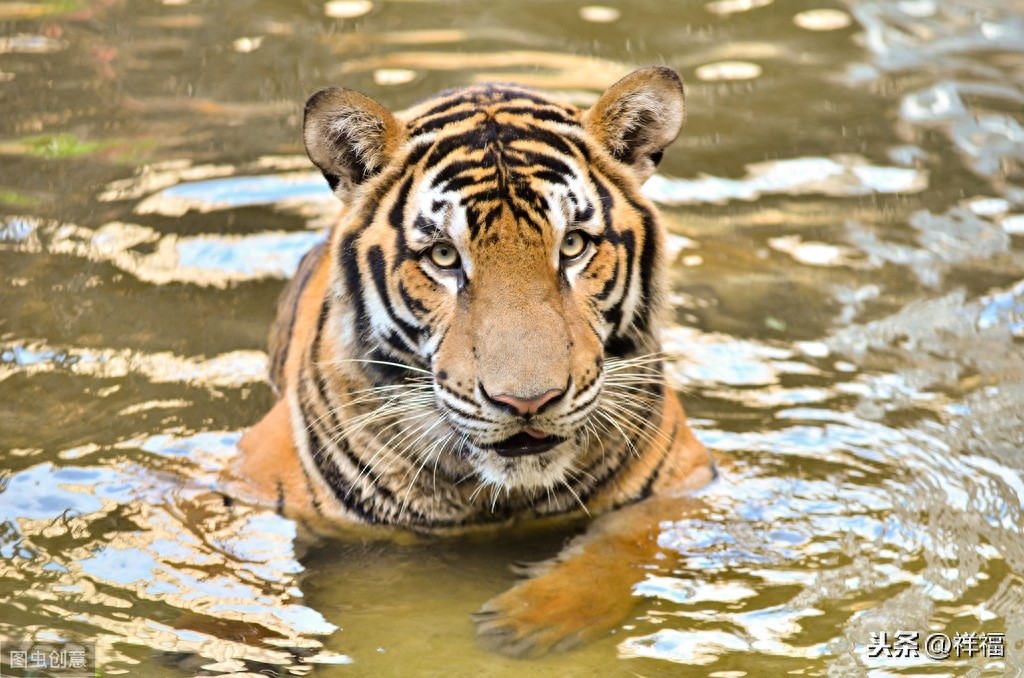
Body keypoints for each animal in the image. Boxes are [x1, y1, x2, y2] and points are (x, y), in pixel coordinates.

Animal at [230, 66, 714, 657]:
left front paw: (528, 621)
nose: (527, 402)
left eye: (573, 246)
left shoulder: (681, 486)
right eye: (444, 256)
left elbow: (623, 547)